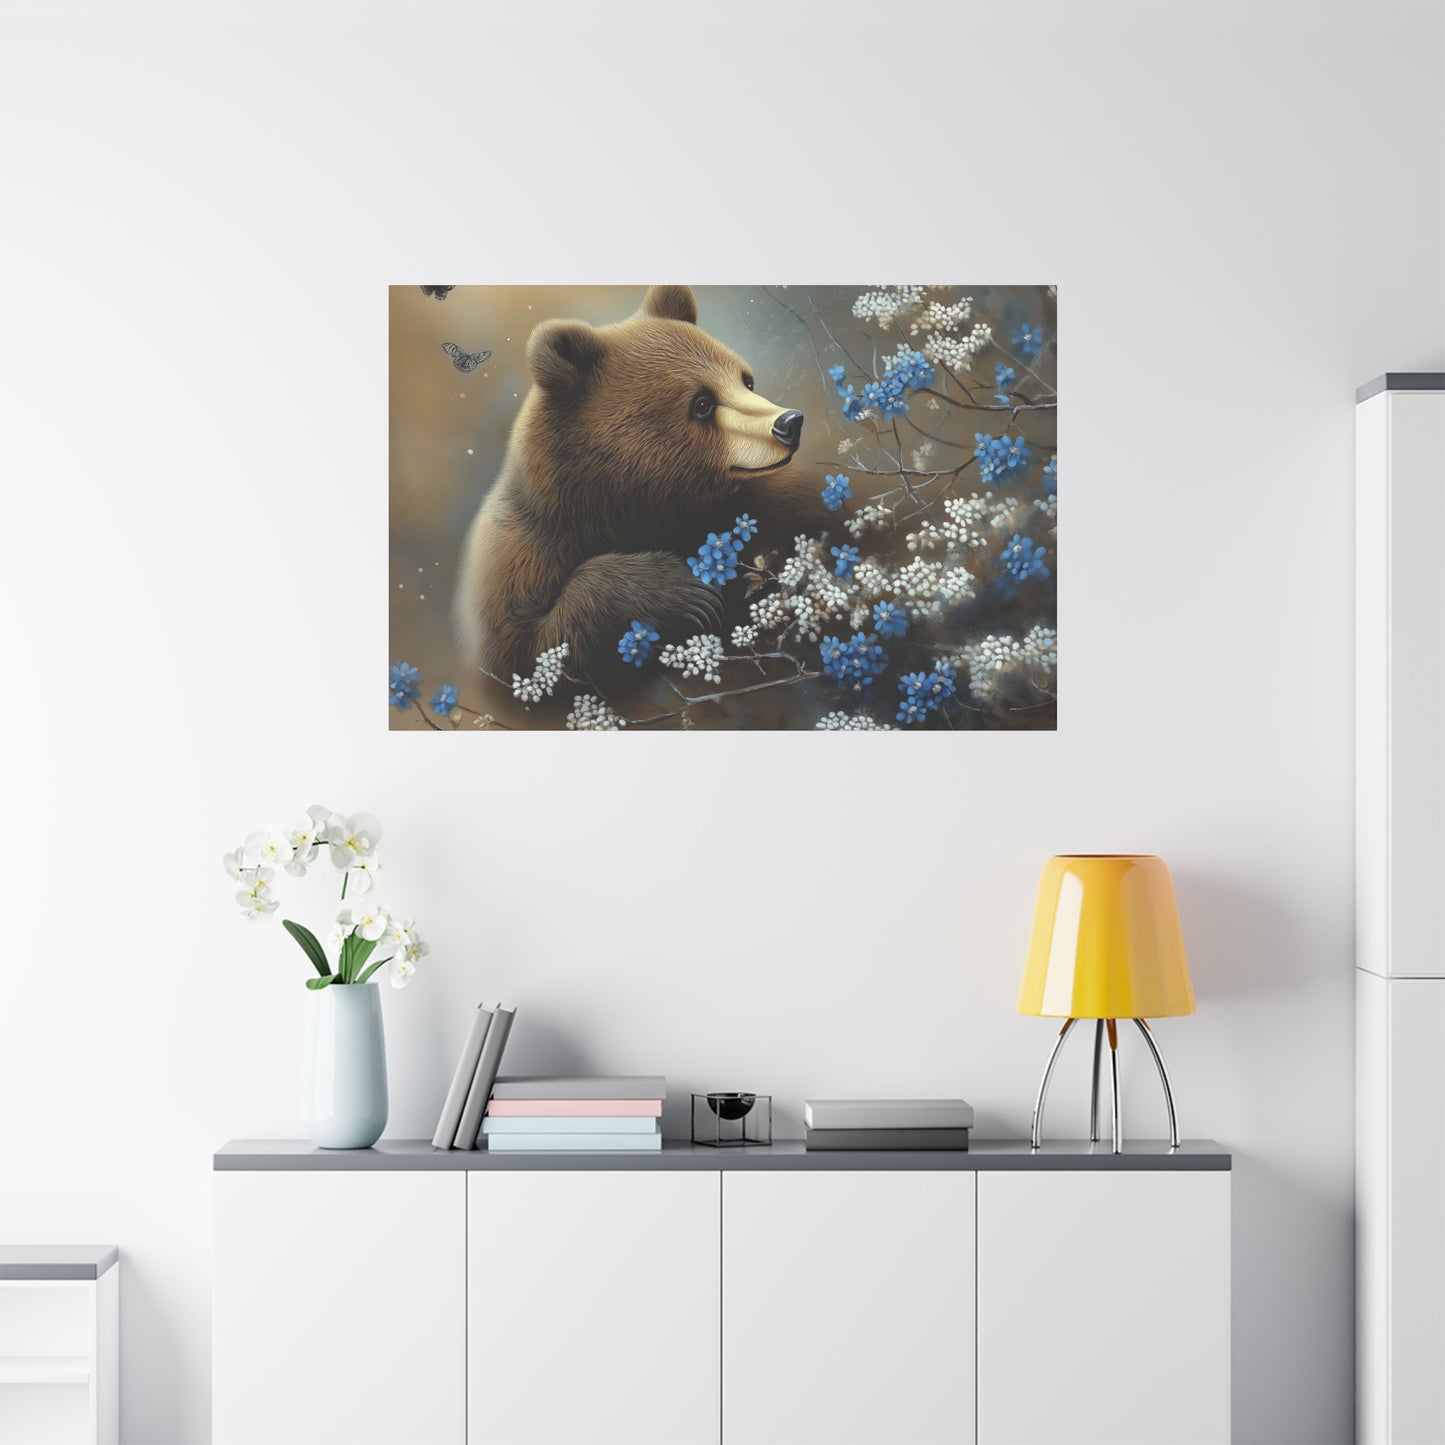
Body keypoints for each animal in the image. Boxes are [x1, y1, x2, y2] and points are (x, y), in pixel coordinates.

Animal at [452, 285, 816, 689]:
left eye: (746, 380)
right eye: (702, 404)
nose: (789, 422)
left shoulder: (773, 503)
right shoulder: (519, 558)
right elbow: (529, 652)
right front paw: (686, 592)